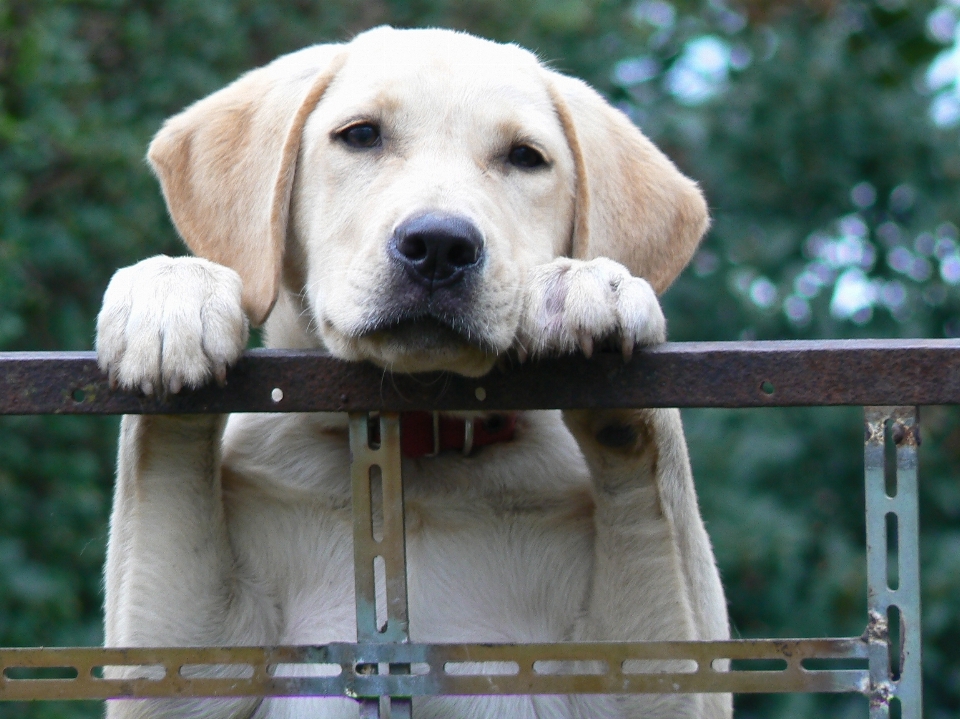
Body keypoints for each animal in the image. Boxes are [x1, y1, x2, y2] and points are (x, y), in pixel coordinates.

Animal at [95, 25, 728, 716]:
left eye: (525, 157)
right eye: (361, 135)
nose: (440, 246)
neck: (422, 449)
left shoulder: (637, 674)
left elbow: (655, 482)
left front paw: (591, 284)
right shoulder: (195, 663)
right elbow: (165, 465)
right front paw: (171, 294)